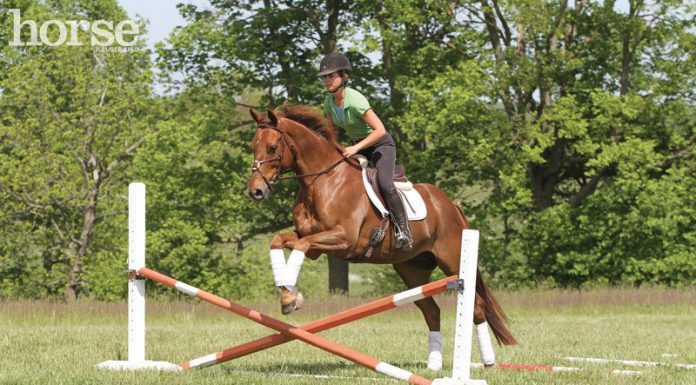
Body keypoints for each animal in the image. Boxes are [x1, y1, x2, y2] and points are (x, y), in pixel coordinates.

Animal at [247, 103, 512, 368]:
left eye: (272, 147)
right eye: (252, 145)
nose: (255, 192)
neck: (323, 182)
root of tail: (451, 205)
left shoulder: (345, 240)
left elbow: (300, 245)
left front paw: (289, 298)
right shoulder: (313, 243)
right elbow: (280, 241)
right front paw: (287, 293)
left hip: (452, 260)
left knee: (477, 307)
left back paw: (487, 362)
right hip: (412, 270)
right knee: (431, 311)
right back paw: (434, 364)